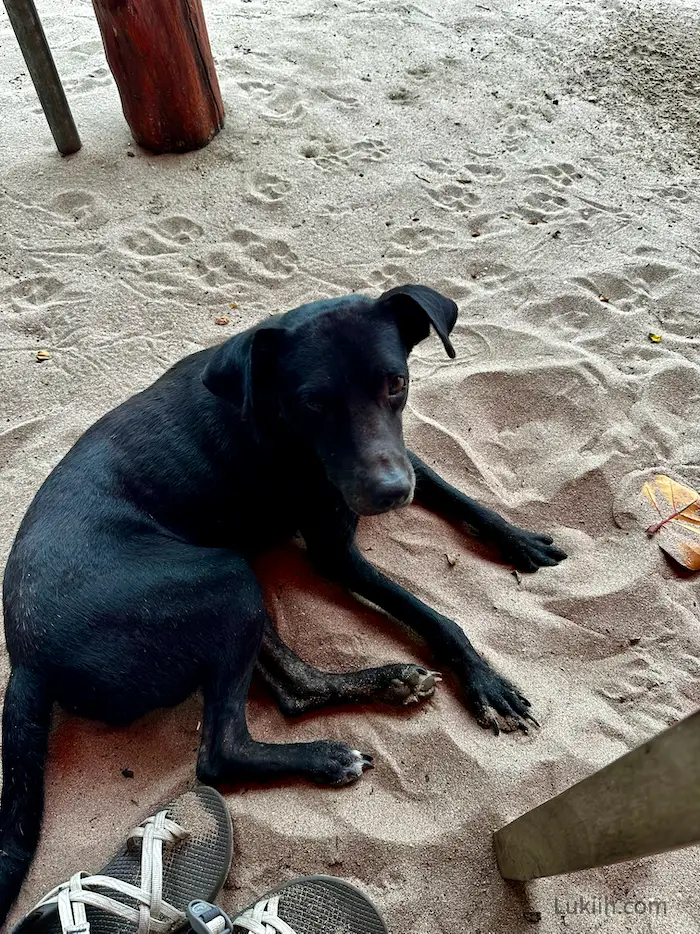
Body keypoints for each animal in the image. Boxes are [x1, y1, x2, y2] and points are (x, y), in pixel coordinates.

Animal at [0, 284, 564, 920]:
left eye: (396, 383)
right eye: (314, 402)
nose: (390, 494)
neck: (272, 411)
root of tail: (26, 655)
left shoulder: (404, 459)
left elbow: (461, 497)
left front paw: (516, 539)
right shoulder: (335, 551)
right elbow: (435, 616)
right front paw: (484, 680)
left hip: (230, 593)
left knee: (292, 687)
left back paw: (389, 683)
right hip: (223, 578)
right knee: (220, 752)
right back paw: (328, 757)